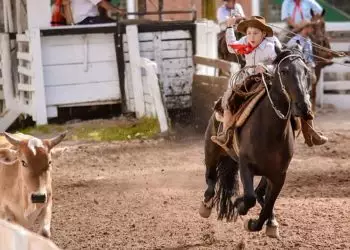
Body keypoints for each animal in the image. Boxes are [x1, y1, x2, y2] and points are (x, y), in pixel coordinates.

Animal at [200, 46, 312, 238]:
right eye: (284, 71)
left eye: (305, 71)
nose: (303, 107)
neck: (270, 132)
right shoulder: (246, 166)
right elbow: (249, 198)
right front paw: (239, 204)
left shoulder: (279, 175)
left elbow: (267, 204)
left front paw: (257, 223)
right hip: (211, 150)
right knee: (210, 180)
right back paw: (206, 206)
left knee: (260, 193)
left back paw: (271, 221)